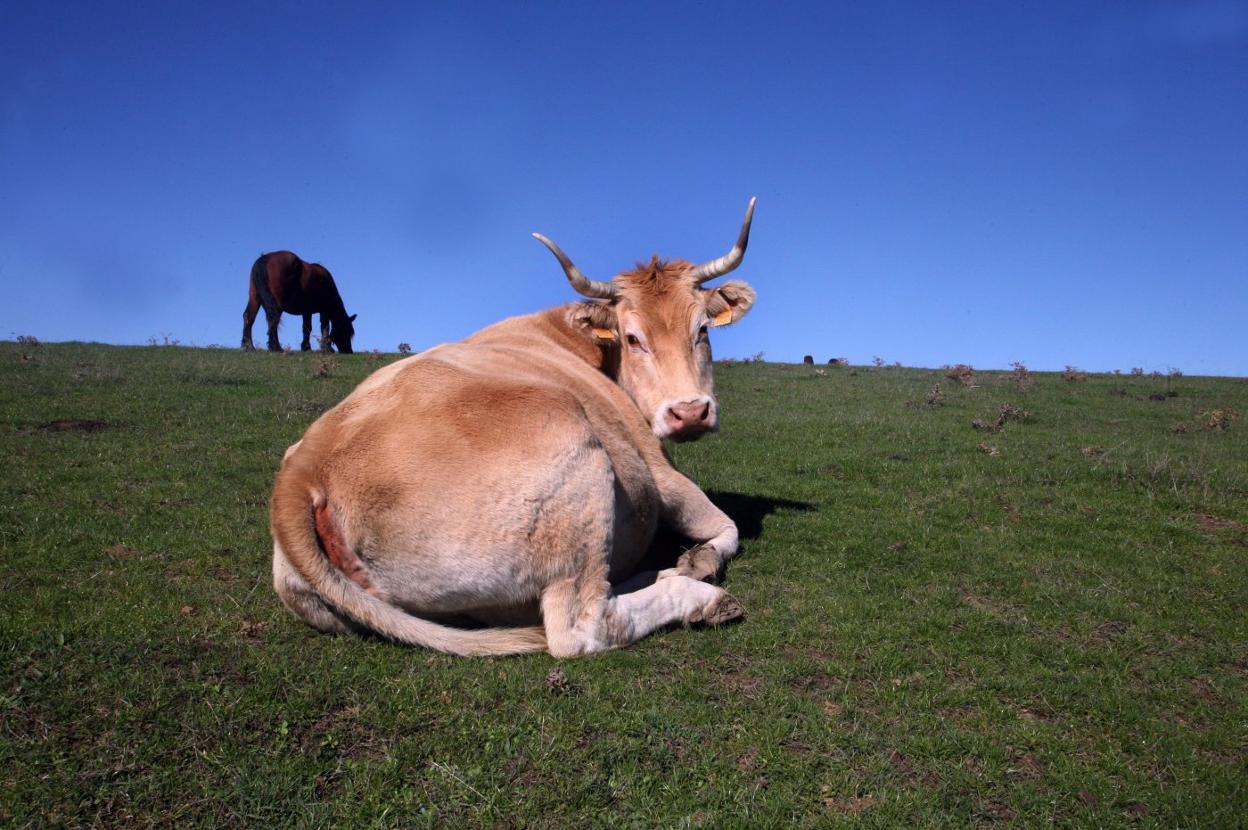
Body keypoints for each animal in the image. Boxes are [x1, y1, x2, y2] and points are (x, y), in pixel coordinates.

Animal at [270, 199, 758, 654]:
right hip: (576, 457)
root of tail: (304, 468)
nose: (690, 412)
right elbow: (727, 529)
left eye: (702, 330)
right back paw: (698, 596)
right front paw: (697, 562)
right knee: (582, 627)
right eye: (633, 338)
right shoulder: (660, 474)